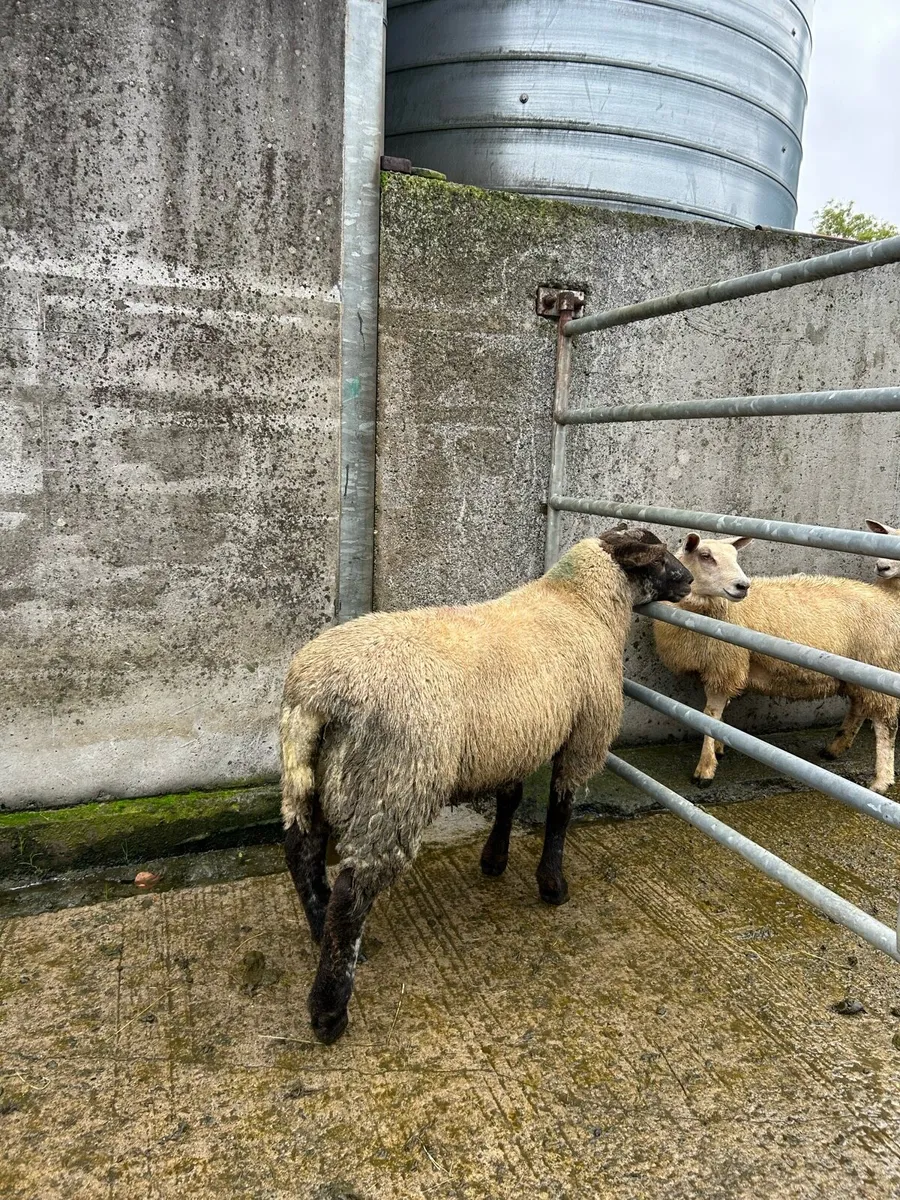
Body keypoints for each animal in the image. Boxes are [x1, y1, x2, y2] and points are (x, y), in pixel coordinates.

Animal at [280, 526, 693, 1043]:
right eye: (659, 558)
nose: (690, 579)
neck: (580, 603)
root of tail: (316, 695)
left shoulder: (514, 740)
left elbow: (510, 799)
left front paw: (494, 860)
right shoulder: (583, 734)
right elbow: (560, 810)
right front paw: (552, 885)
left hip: (311, 780)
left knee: (303, 854)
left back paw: (321, 935)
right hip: (393, 783)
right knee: (351, 894)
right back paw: (329, 1011)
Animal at [652, 533, 900, 794]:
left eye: (736, 557)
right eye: (705, 556)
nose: (743, 586)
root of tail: (889, 601)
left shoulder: (726, 665)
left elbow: (710, 716)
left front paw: (705, 770)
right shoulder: (720, 668)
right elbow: (720, 713)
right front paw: (719, 748)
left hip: (880, 664)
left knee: (886, 725)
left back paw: (881, 781)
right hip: (859, 673)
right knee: (859, 708)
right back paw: (835, 748)